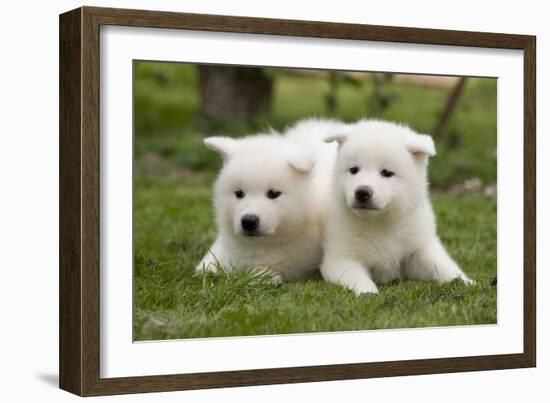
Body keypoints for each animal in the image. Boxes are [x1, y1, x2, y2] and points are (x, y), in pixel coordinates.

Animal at [324, 120, 474, 294]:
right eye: (353, 170)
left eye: (387, 173)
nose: (362, 192)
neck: (380, 223)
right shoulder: (341, 258)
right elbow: (356, 277)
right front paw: (369, 292)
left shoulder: (419, 247)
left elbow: (442, 266)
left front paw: (466, 282)